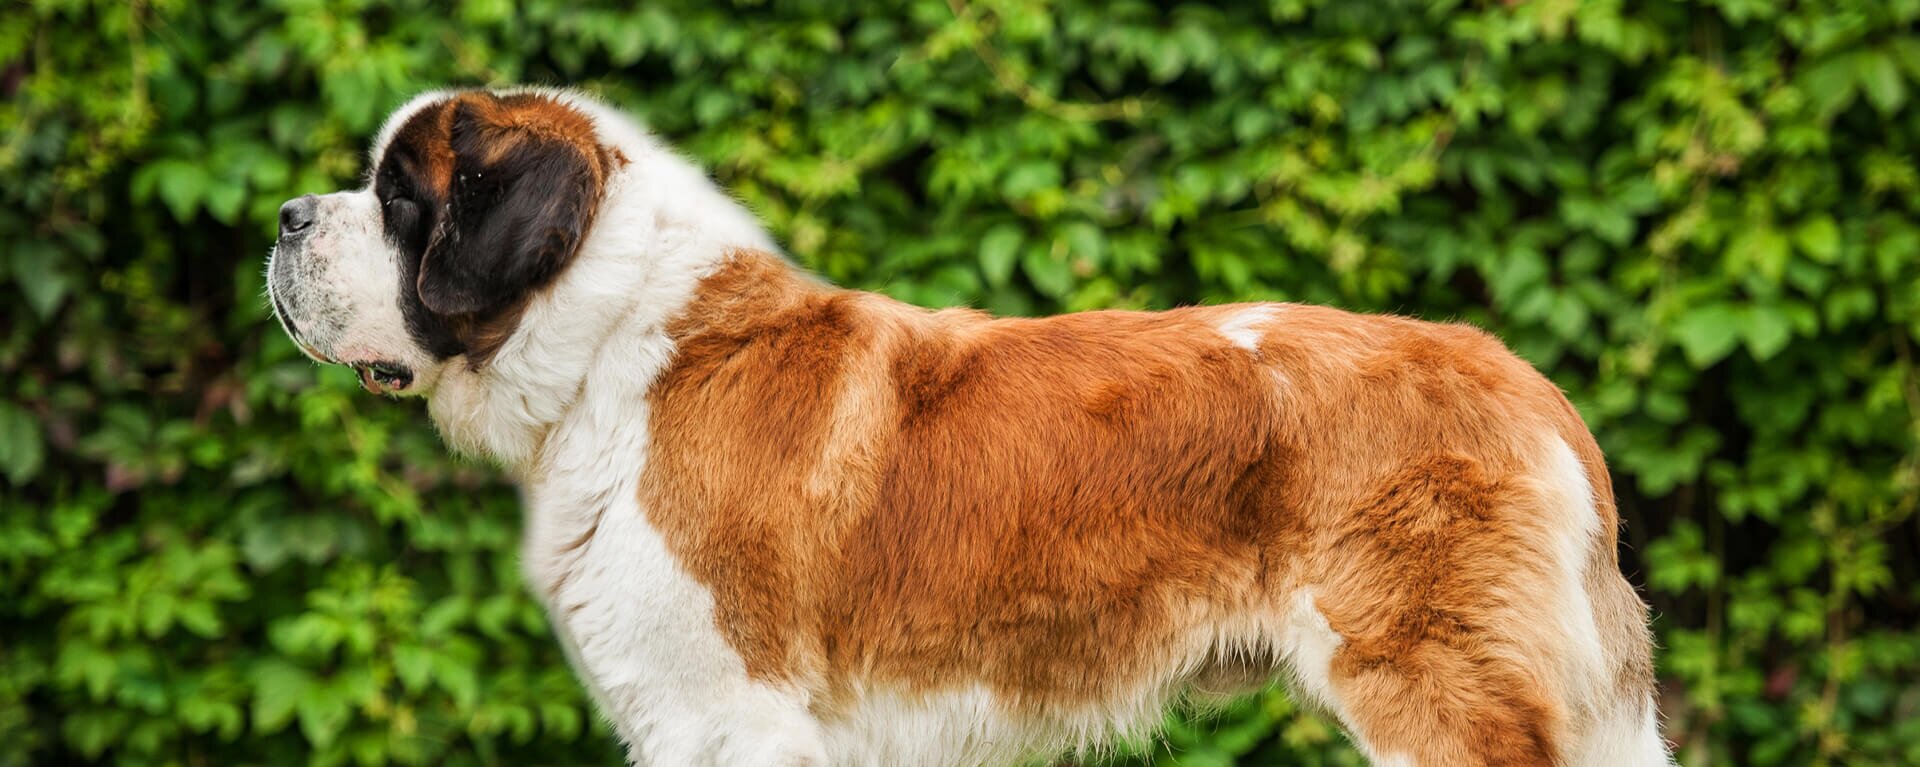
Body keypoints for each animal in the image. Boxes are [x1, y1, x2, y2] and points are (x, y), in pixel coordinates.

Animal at [263, 86, 1674, 765]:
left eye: (401, 198)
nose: (283, 216)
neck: (613, 340)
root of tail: (1517, 374)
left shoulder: (732, 715)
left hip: (1437, 688)